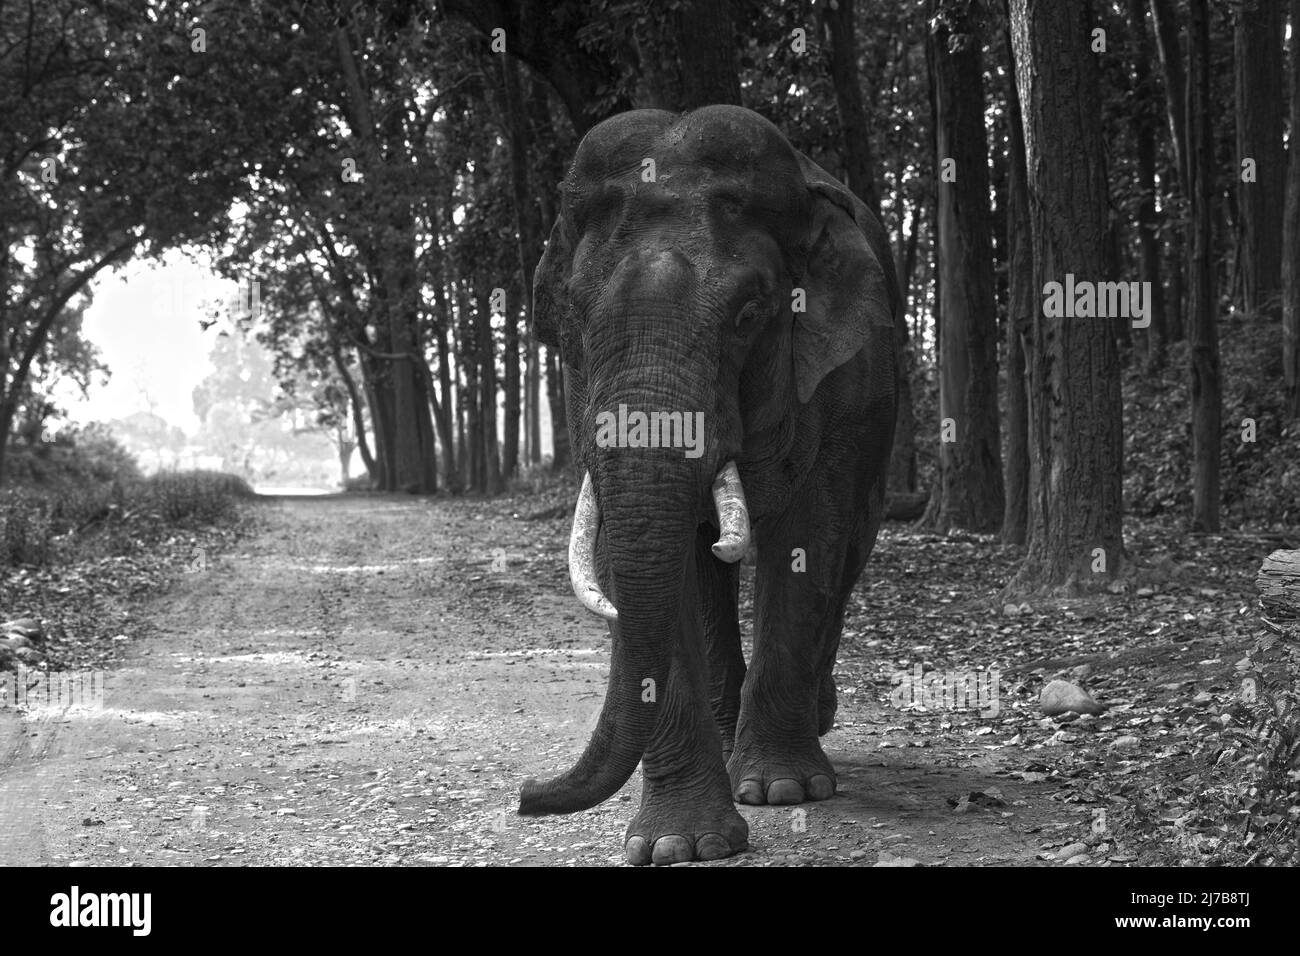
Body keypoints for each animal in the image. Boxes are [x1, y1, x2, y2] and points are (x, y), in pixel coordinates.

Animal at [519, 104, 900, 865]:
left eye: (750, 315)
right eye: (576, 318)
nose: (524, 795)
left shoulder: (843, 378)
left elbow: (810, 534)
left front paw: (783, 790)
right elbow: (660, 566)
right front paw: (676, 845)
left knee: (850, 548)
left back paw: (812, 722)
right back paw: (731, 738)